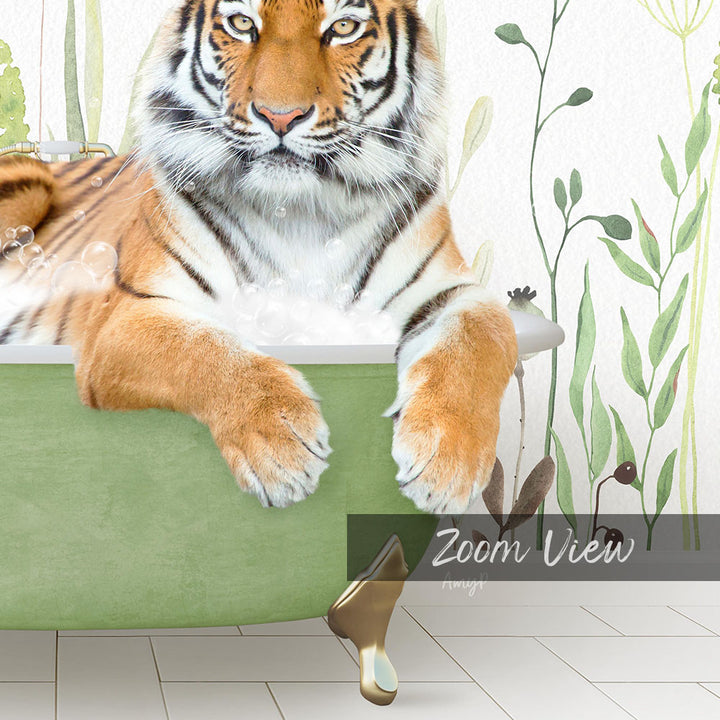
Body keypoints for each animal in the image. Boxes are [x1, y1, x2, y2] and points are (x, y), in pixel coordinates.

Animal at [0, 0, 517, 514]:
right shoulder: (126, 316)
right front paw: (282, 448)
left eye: (343, 27)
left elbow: (481, 338)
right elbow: (205, 349)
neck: (301, 214)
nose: (281, 116)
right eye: (242, 23)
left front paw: (447, 462)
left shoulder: (452, 291)